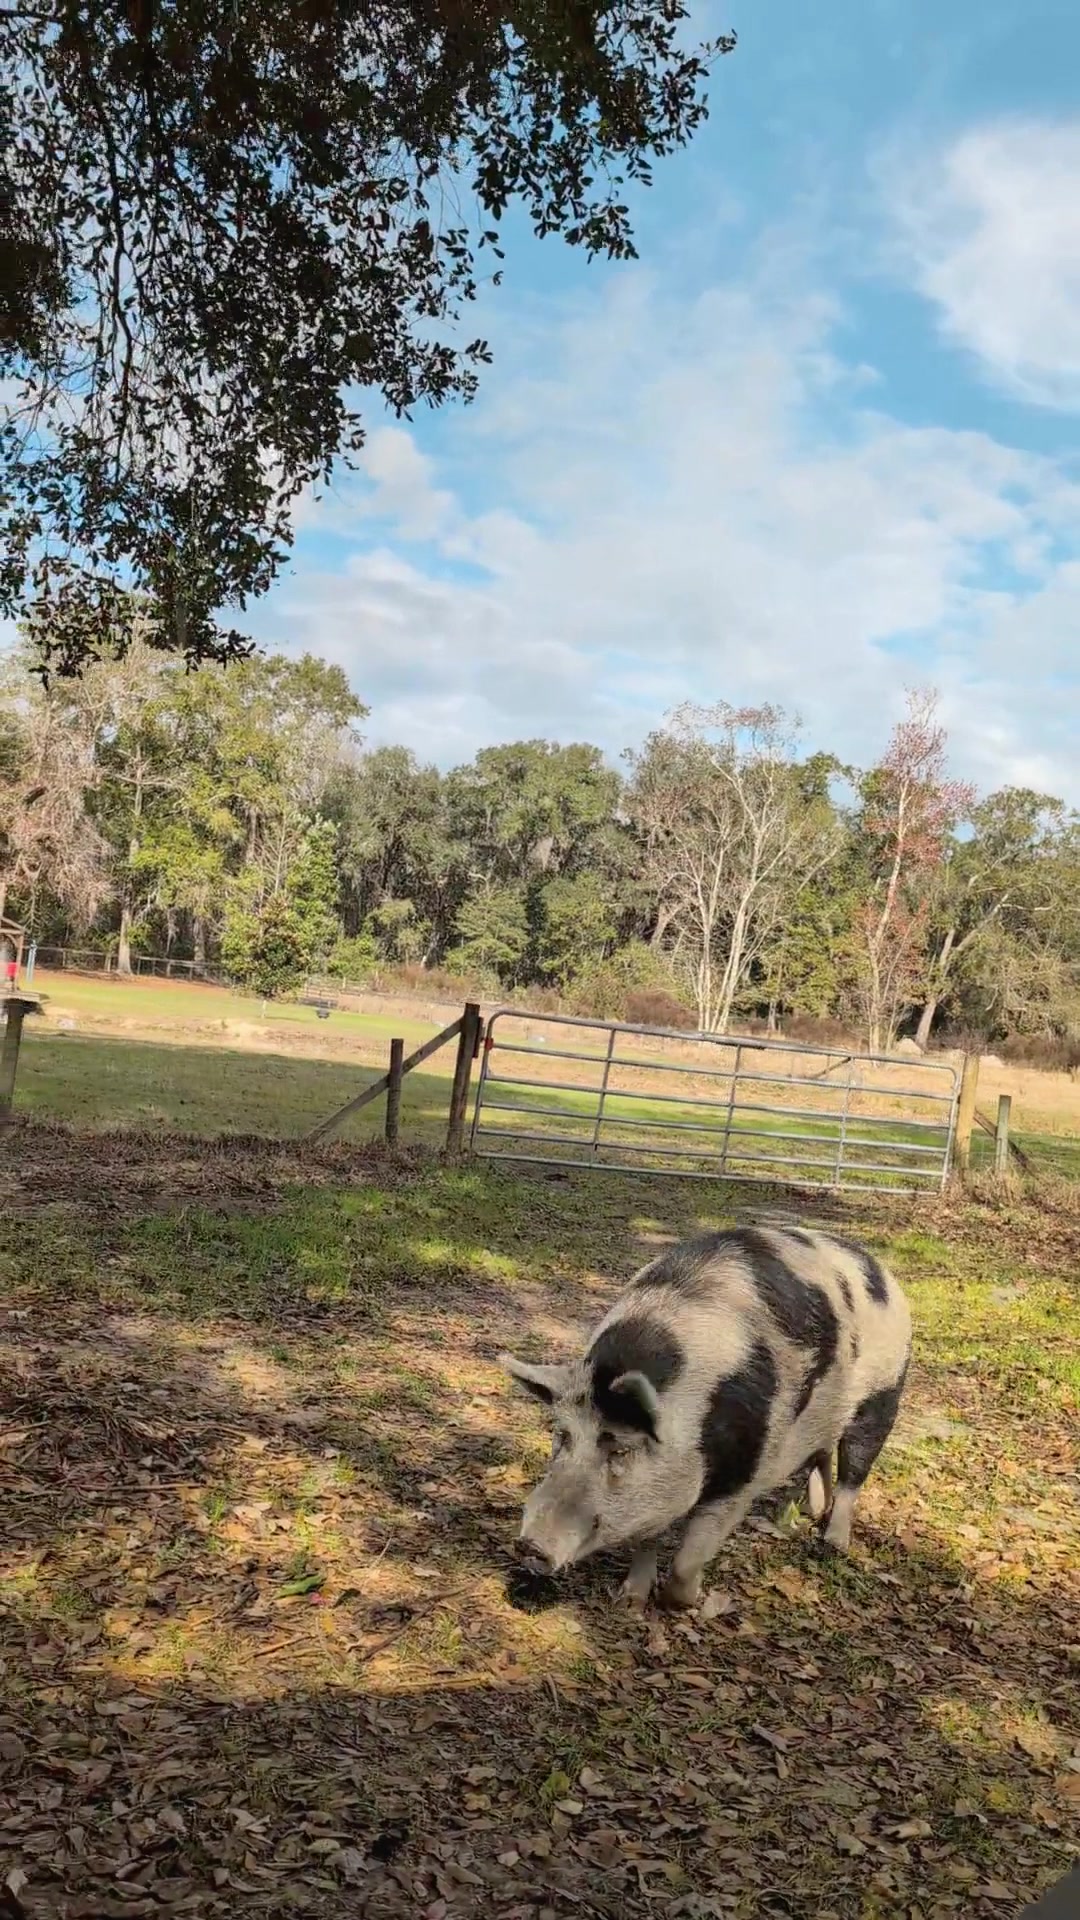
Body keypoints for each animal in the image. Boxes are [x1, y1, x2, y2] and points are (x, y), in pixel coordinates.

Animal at [501, 1223, 911, 1610]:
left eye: (620, 1451)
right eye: (563, 1436)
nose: (530, 1545)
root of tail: (879, 1268)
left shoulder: (745, 1472)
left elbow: (689, 1557)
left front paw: (695, 1602)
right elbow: (648, 1533)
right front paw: (629, 1600)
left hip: (884, 1394)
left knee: (854, 1470)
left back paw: (833, 1543)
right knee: (822, 1455)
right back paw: (803, 1512)